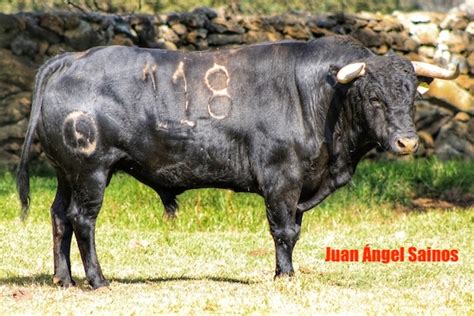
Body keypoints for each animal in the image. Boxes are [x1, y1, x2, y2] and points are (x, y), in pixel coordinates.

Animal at [17, 35, 456, 288]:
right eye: (373, 97)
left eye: (411, 95)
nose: (407, 141)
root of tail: (73, 59)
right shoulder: (281, 180)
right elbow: (284, 231)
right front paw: (285, 276)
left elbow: (294, 230)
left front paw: (285, 272)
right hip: (91, 171)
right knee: (82, 219)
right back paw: (97, 279)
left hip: (67, 173)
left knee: (59, 216)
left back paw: (63, 279)